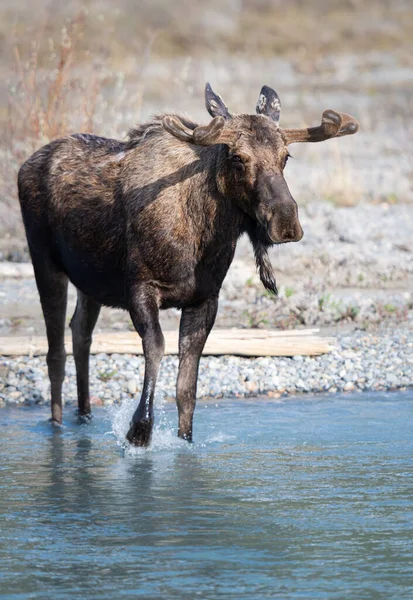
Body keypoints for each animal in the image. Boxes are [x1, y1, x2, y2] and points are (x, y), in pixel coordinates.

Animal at [17, 84, 358, 446]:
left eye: (286, 158)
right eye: (237, 158)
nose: (286, 222)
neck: (202, 234)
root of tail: (24, 165)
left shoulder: (204, 299)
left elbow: (187, 389)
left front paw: (184, 439)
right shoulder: (140, 289)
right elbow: (156, 348)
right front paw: (139, 429)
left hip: (89, 282)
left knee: (80, 332)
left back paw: (84, 416)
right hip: (44, 261)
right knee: (55, 351)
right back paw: (56, 425)